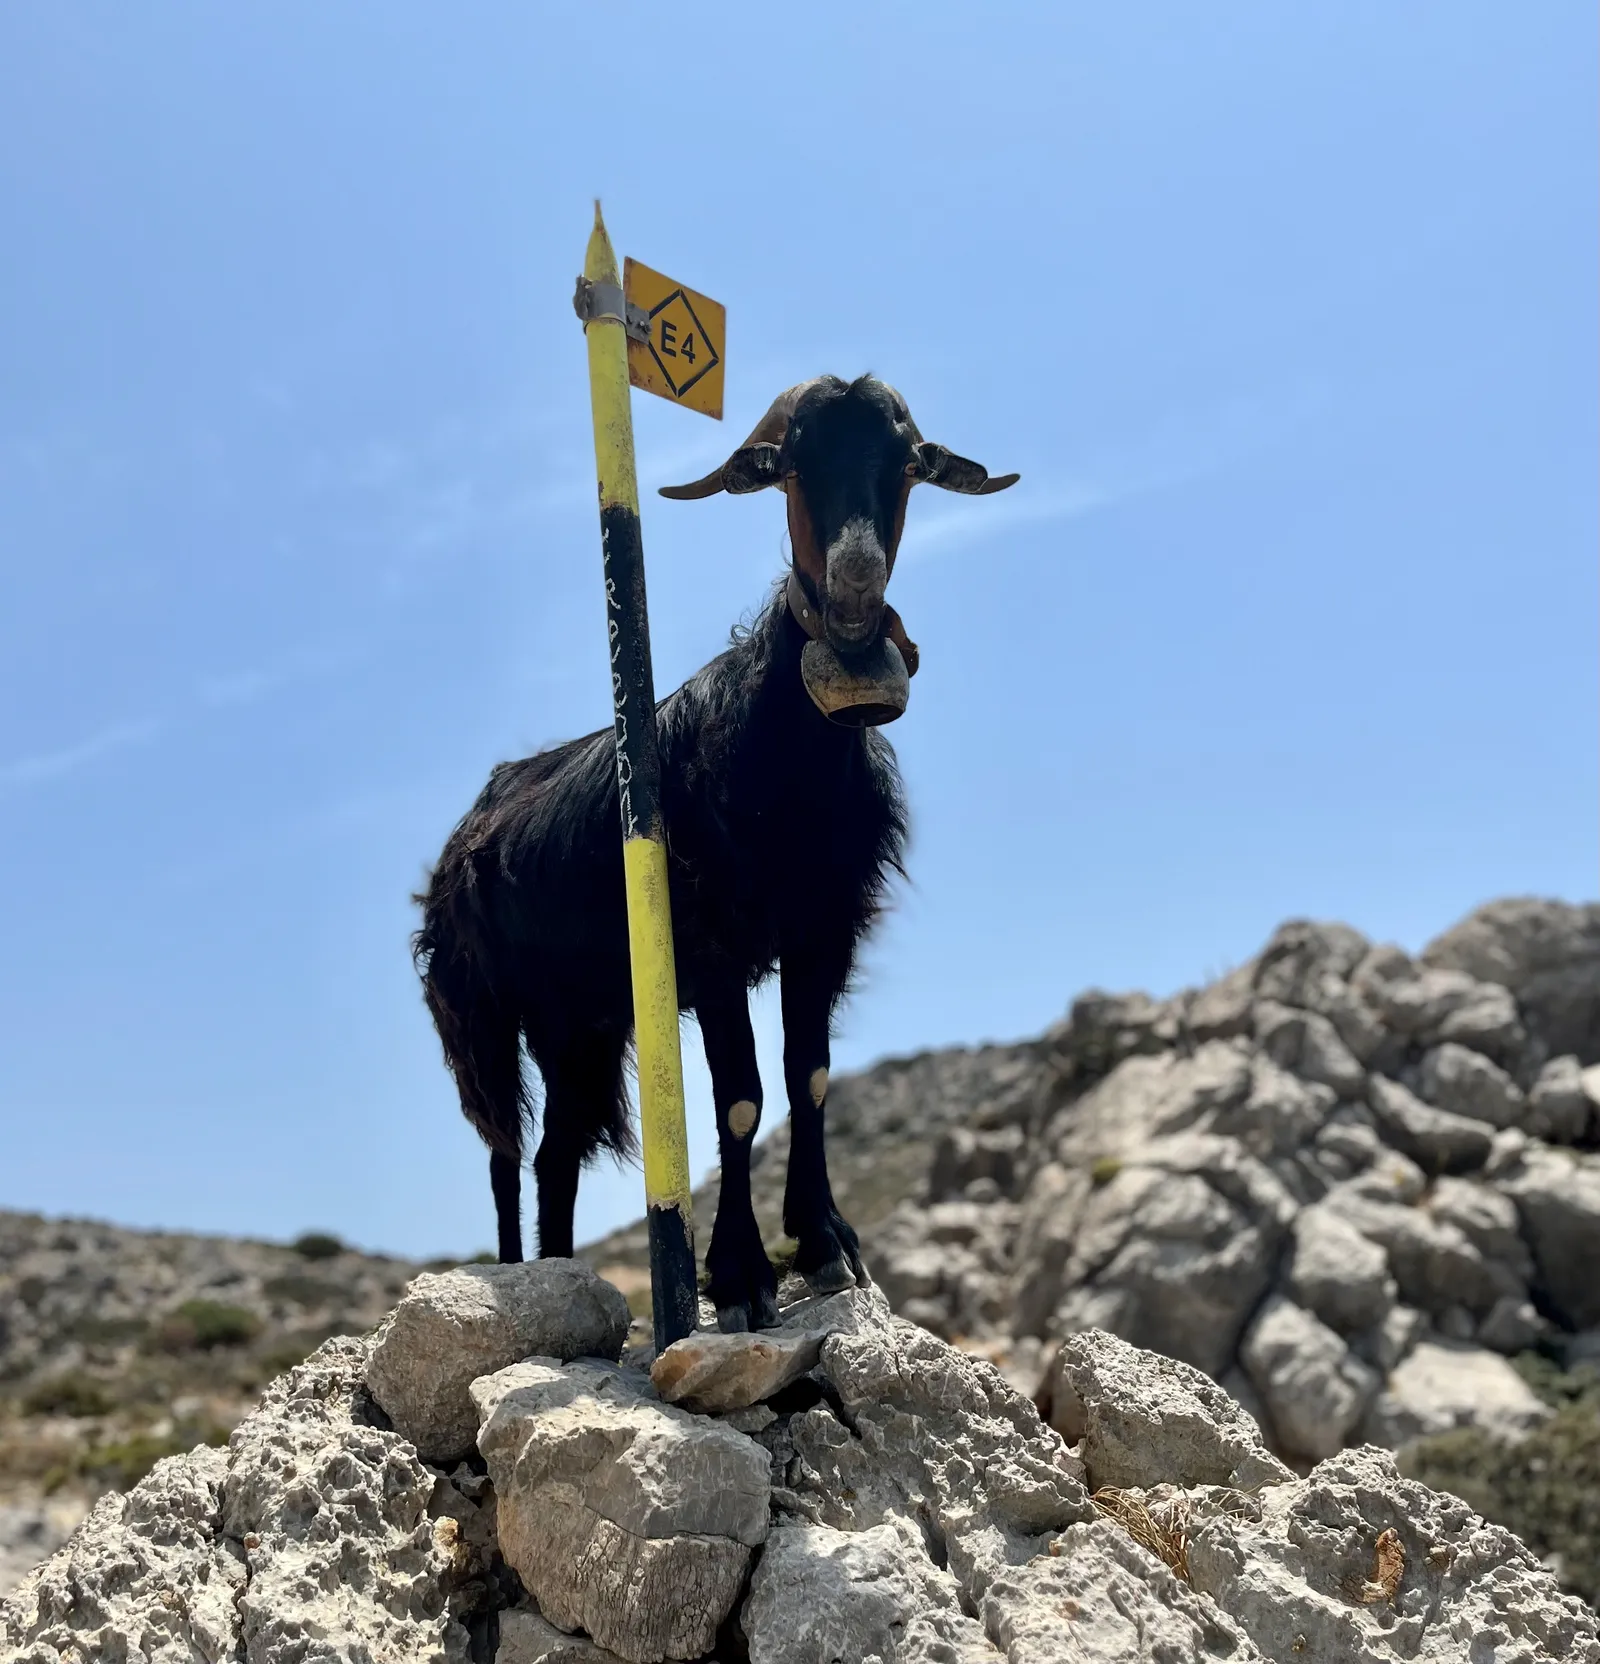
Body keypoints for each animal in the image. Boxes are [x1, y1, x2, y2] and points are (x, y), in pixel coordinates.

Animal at [414, 373, 1018, 1330]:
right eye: (791, 466)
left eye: (907, 465)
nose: (853, 604)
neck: (784, 771)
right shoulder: (710, 946)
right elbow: (740, 1100)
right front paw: (739, 1275)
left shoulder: (822, 931)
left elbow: (808, 1075)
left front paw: (826, 1241)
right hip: (484, 1014)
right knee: (505, 1150)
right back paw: (517, 1277)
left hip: (576, 1024)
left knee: (554, 1155)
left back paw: (562, 1275)